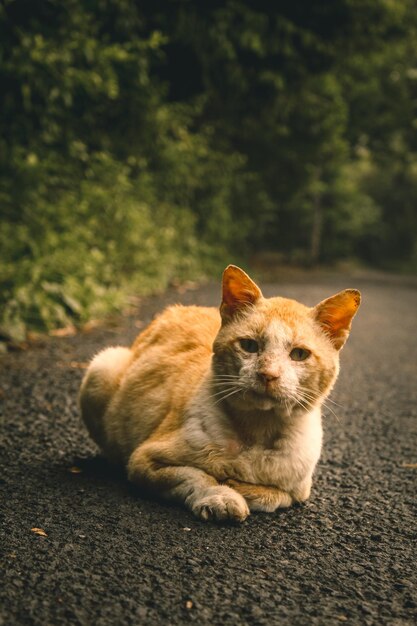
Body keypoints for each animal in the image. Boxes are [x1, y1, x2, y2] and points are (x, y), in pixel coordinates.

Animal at [79, 266, 360, 520]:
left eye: (299, 354)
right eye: (249, 346)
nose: (267, 374)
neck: (258, 431)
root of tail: (173, 309)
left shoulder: (300, 490)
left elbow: (275, 495)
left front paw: (239, 487)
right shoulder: (143, 461)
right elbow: (196, 476)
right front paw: (223, 497)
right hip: (102, 365)